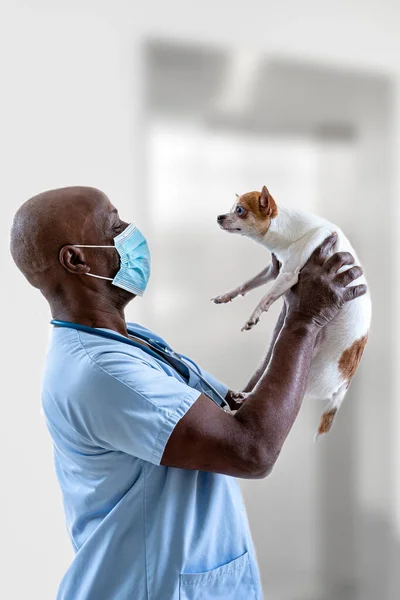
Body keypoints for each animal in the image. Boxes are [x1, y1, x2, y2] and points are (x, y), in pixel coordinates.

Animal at [212, 185, 372, 438]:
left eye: (240, 211)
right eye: (231, 209)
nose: (218, 216)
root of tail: (346, 383)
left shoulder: (287, 275)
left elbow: (264, 297)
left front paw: (253, 316)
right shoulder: (273, 270)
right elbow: (248, 284)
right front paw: (227, 295)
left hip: (311, 372)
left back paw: (244, 399)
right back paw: (243, 396)